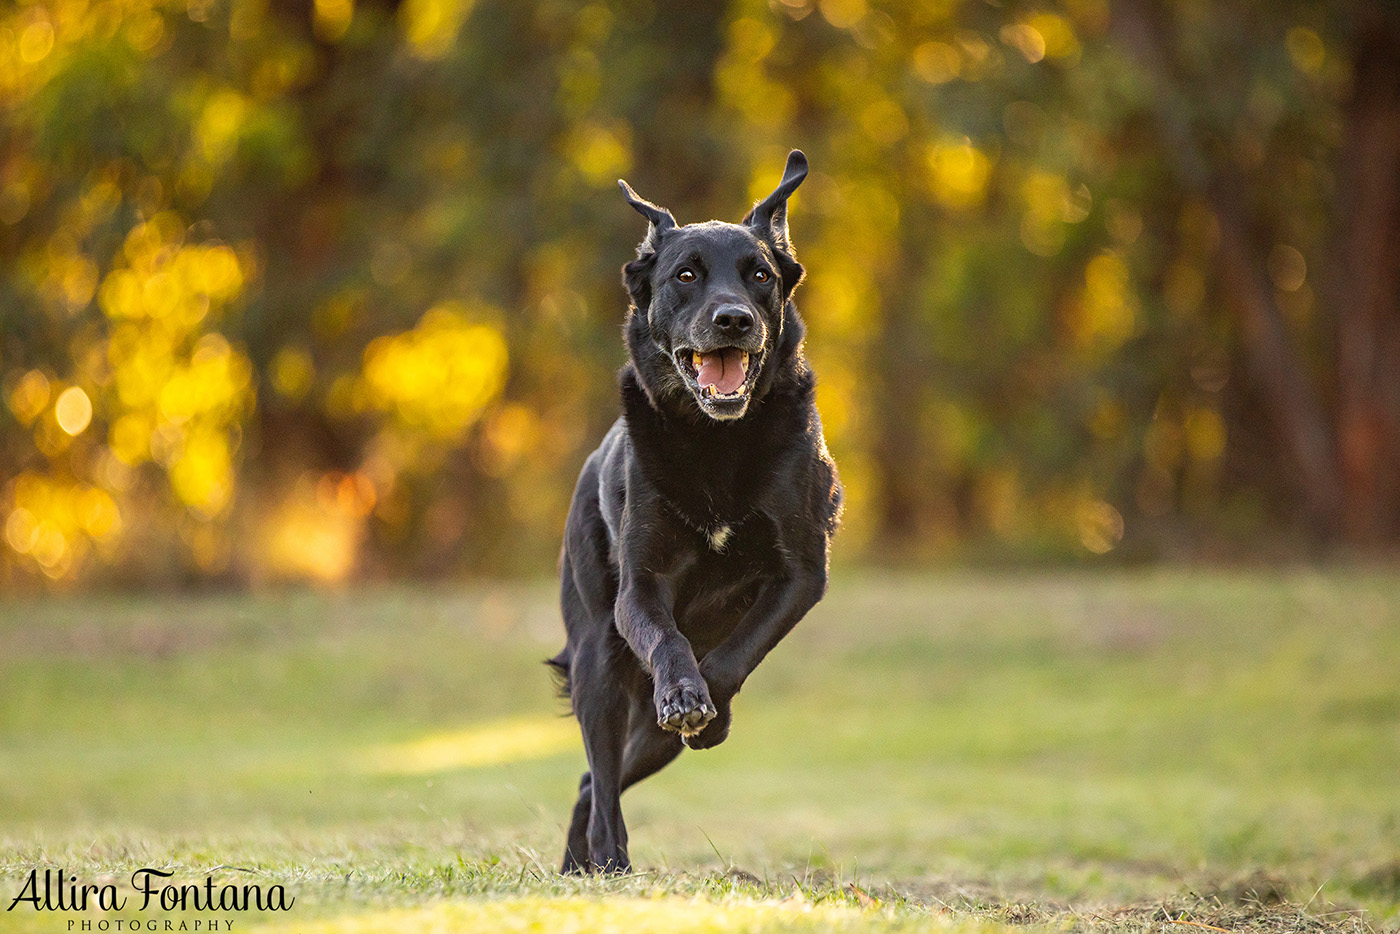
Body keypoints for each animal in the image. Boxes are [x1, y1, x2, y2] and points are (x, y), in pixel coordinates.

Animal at [548, 149, 840, 873]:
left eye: (760, 275)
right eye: (686, 275)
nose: (734, 319)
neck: (716, 440)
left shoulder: (801, 573)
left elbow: (739, 650)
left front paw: (711, 708)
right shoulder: (640, 589)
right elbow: (668, 639)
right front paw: (684, 689)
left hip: (649, 738)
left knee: (593, 779)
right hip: (599, 659)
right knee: (601, 776)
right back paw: (609, 863)